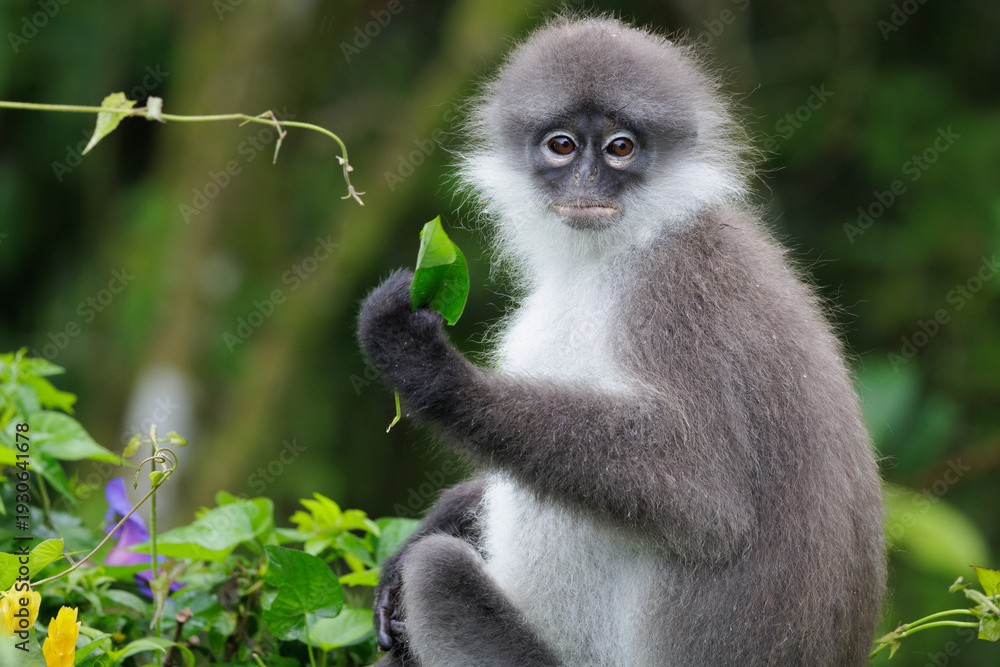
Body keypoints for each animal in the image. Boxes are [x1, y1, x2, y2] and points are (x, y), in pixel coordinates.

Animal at [358, 15, 885, 667]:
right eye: (562, 146)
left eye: (620, 148)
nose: (587, 180)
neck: (622, 246)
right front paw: (443, 518)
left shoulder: (671, 292)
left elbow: (708, 498)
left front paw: (429, 370)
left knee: (434, 576)